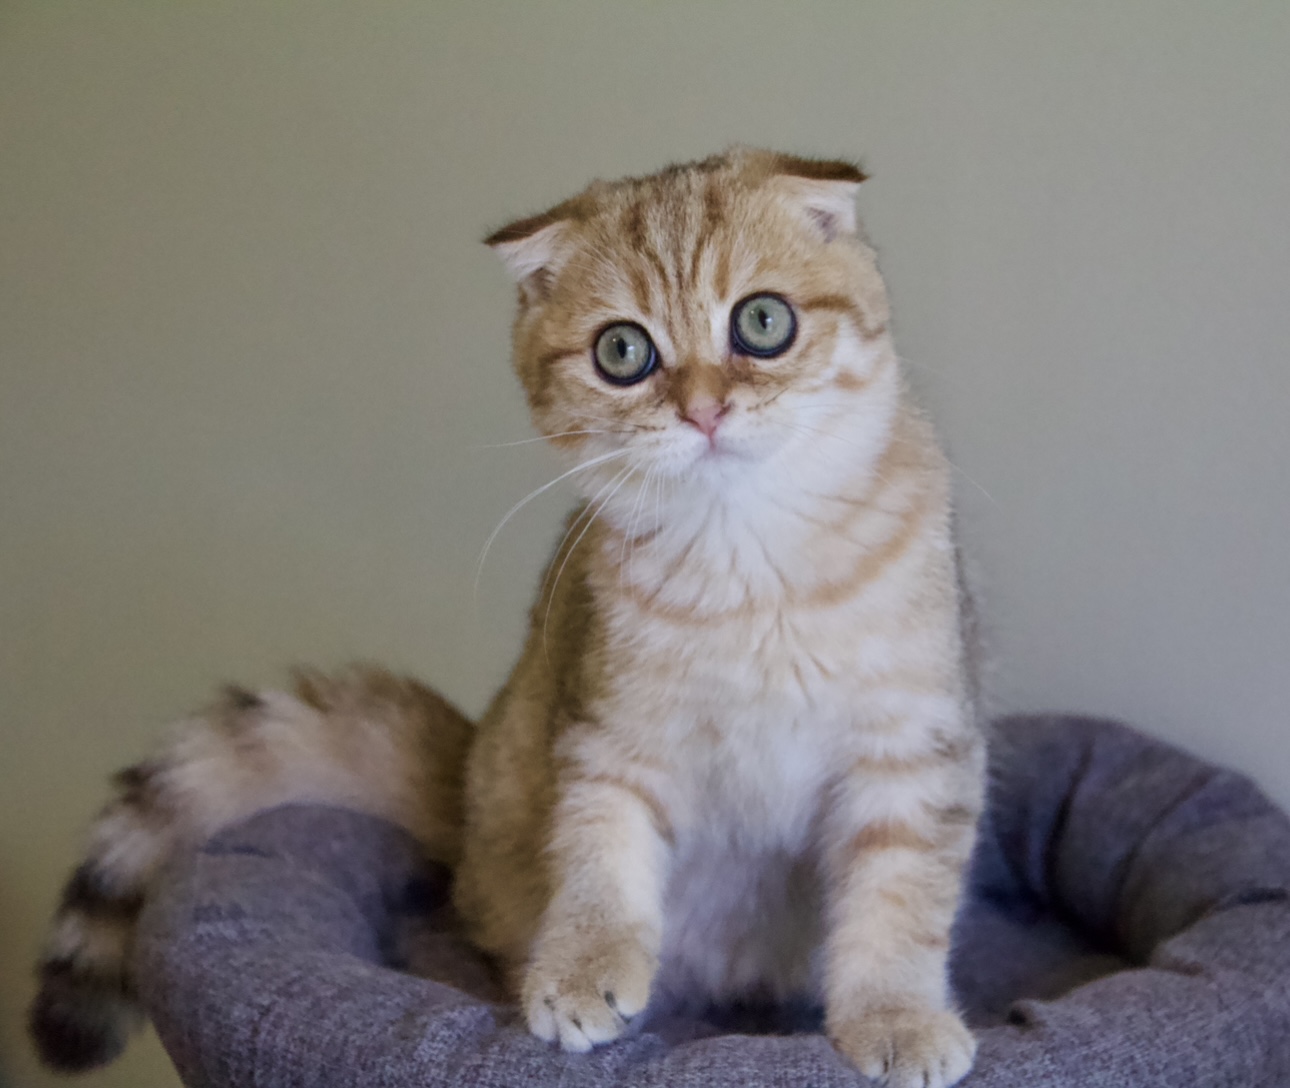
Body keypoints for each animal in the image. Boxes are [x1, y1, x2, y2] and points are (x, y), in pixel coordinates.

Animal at [32, 151, 985, 1088]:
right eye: (623, 350)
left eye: (763, 322)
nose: (703, 409)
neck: (747, 561)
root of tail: (462, 788)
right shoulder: (608, 733)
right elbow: (602, 858)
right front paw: (584, 970)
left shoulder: (916, 747)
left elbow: (899, 901)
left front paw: (897, 1019)